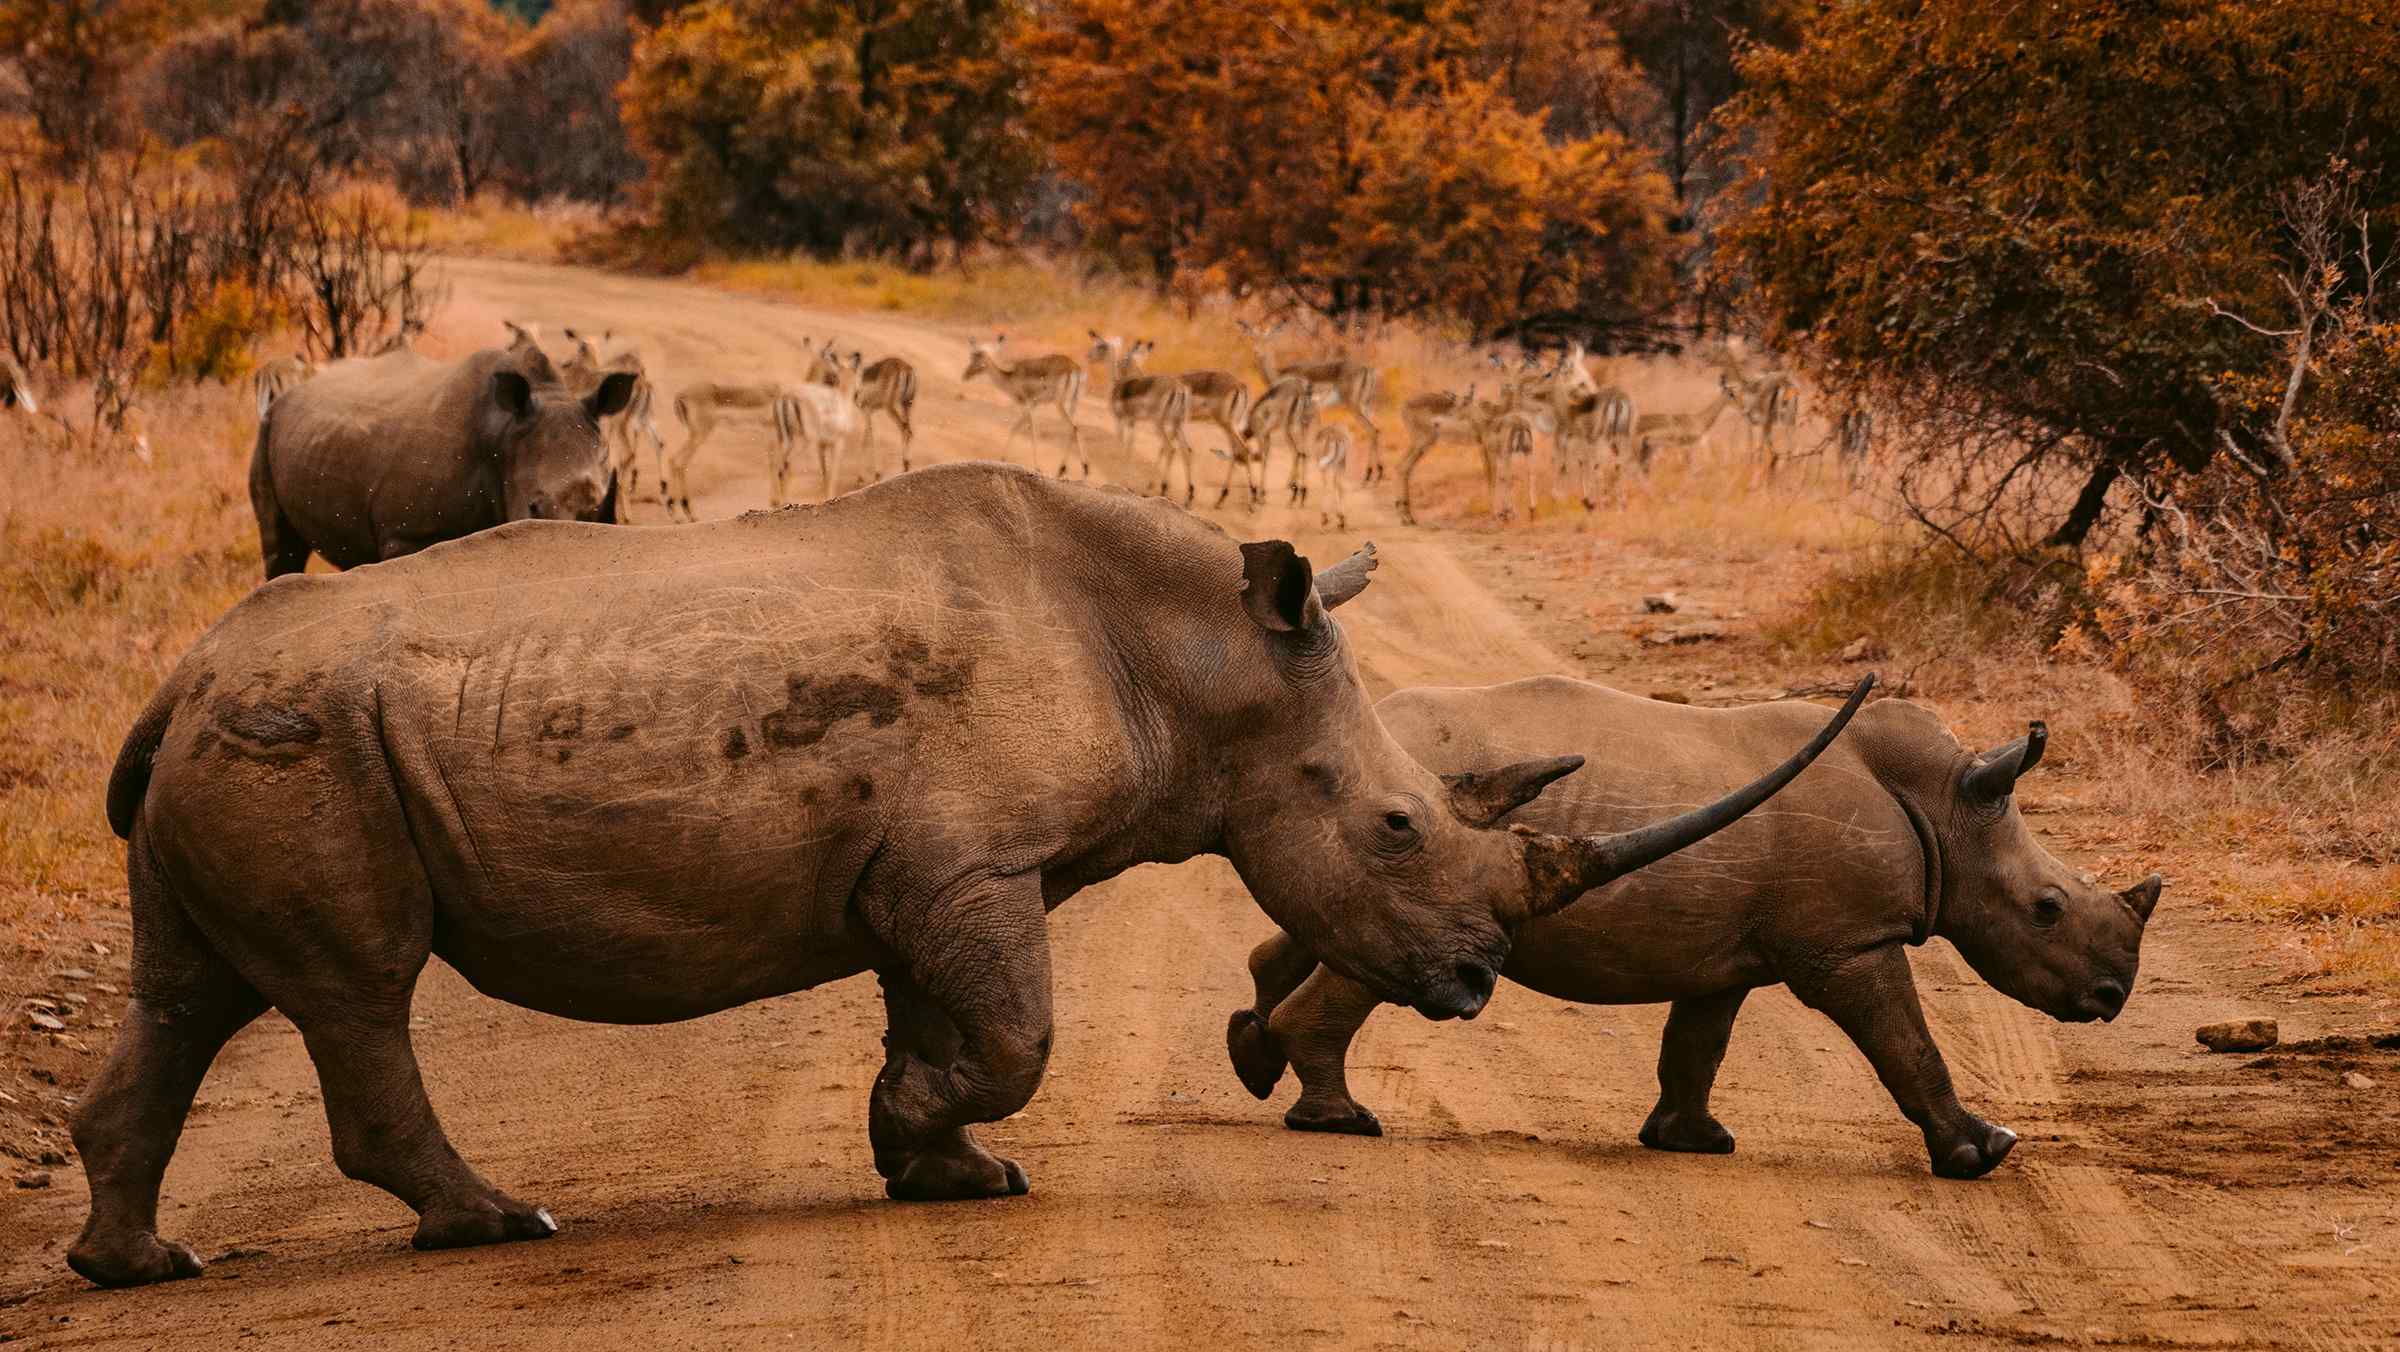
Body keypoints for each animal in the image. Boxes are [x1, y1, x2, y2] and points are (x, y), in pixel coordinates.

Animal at [69, 465, 1870, 1288]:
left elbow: (940, 1019)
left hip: (246, 732)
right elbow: (1016, 1035)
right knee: (357, 989)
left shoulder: (933, 870)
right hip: (306, 738)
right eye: (1399, 828)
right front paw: (934, 1139)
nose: (1477, 985)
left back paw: (138, 1265)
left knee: (190, 992)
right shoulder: (972, 865)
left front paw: (937, 1166)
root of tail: (179, 675)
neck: (1195, 659)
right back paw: (498, 1224)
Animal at [249, 345, 636, 579]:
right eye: (533, 507)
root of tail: (293, 390)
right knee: (280, 548)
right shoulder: (406, 534)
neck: (503, 436)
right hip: (267, 428)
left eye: (599, 508)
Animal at [1228, 676, 2162, 1180]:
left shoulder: (1728, 954)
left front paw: (1692, 1143)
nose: (2113, 996)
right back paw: (1341, 1120)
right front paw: (1984, 1152)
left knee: (1322, 927)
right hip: (1415, 827)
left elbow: (1698, 1045)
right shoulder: (1848, 945)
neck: (1946, 807)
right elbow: (1908, 1043)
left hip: (1376, 824)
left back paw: (1256, 1059)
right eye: (2047, 909)